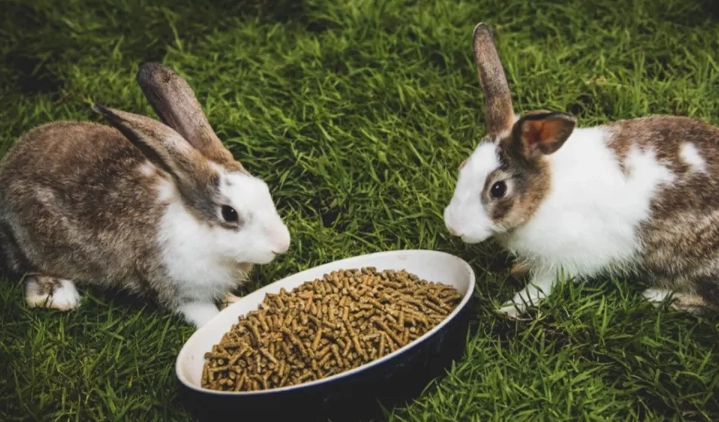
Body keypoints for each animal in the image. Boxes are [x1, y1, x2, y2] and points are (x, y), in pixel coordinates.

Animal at [0, 62, 291, 328]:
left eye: (264, 189)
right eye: (229, 213)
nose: (282, 244)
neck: (197, 227)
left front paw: (233, 301)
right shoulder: (175, 288)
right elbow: (202, 313)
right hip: (34, 244)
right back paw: (61, 296)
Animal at [443, 22, 719, 319]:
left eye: (498, 189)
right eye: (462, 168)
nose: (454, 228)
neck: (543, 195)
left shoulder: (561, 263)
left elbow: (540, 288)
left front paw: (509, 307)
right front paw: (518, 269)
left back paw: (658, 297)